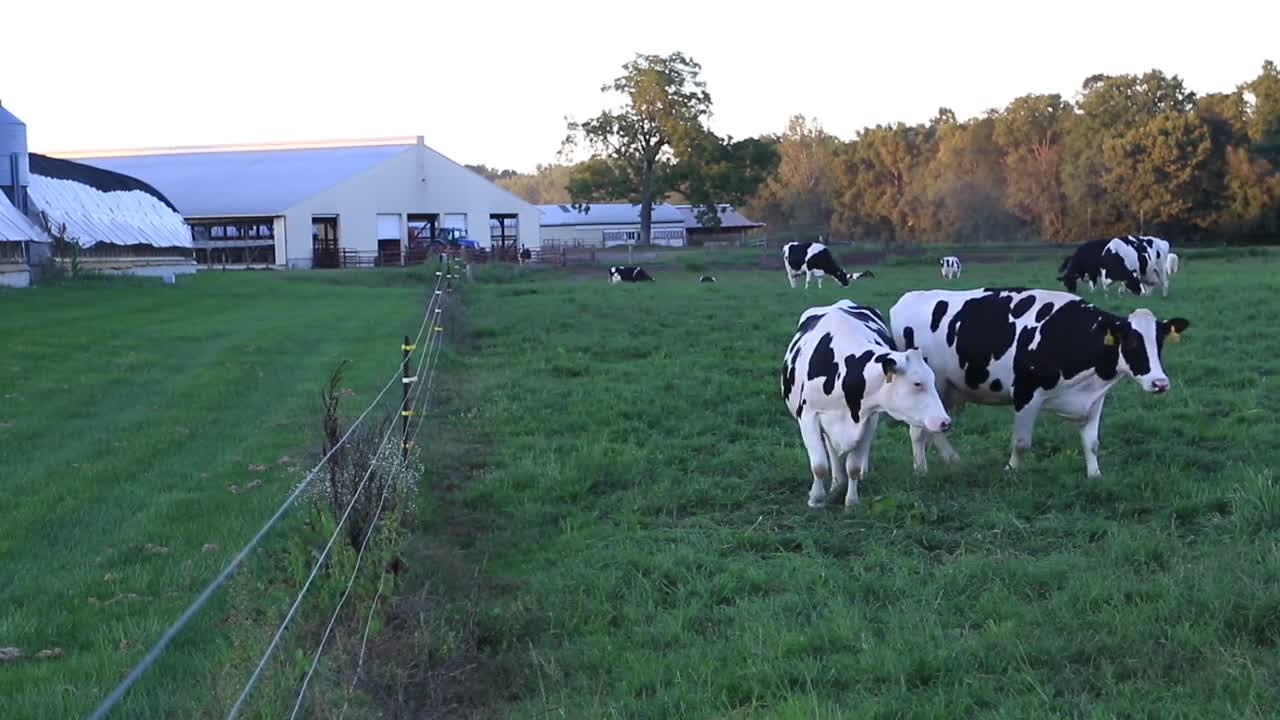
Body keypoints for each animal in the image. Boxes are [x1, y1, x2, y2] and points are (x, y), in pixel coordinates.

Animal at [778, 297, 952, 504]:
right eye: (917, 383)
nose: (945, 422)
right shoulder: (808, 416)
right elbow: (819, 465)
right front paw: (816, 499)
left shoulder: (867, 418)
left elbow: (852, 466)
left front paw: (852, 501)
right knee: (832, 450)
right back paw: (836, 482)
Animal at [890, 285, 1187, 476]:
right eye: (1132, 342)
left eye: (1159, 342)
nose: (1160, 383)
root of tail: (909, 298)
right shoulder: (1025, 393)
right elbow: (1021, 442)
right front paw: (1011, 470)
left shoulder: (1093, 400)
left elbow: (1092, 443)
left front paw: (1095, 475)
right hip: (926, 389)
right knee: (918, 430)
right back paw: (921, 469)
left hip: (946, 391)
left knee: (933, 428)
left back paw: (952, 461)